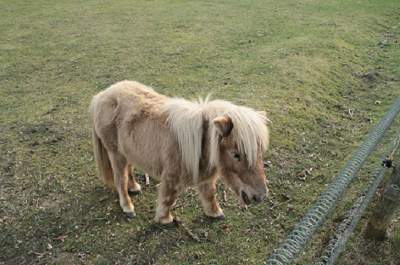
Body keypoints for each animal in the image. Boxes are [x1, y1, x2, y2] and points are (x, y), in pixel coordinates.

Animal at [89, 80, 270, 223]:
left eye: (260, 153)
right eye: (236, 154)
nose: (260, 197)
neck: (199, 142)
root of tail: (102, 95)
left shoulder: (205, 177)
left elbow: (210, 194)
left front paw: (215, 213)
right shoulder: (171, 177)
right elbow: (168, 198)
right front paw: (165, 219)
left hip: (127, 151)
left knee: (129, 170)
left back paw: (134, 187)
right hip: (115, 153)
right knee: (120, 179)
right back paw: (128, 207)